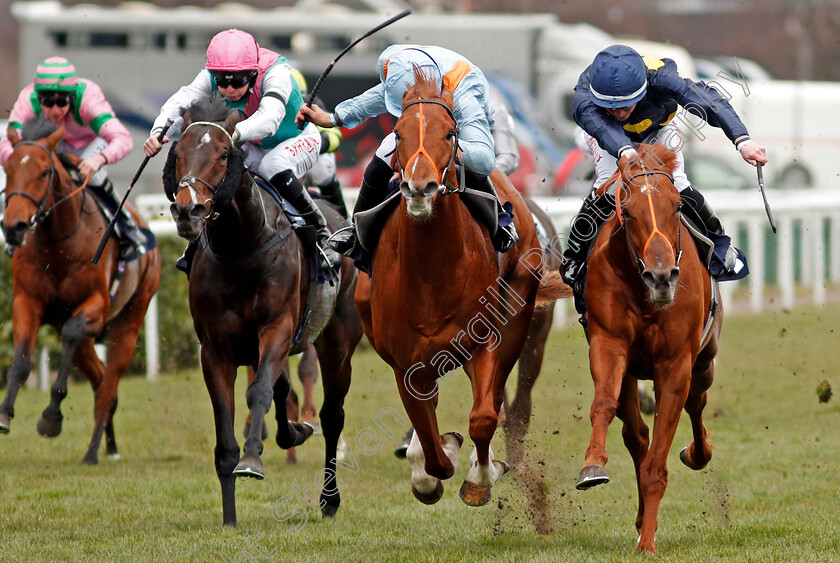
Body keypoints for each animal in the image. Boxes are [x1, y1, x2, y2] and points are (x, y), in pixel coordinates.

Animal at [0, 118, 162, 462]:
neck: (58, 245)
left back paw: (93, 452)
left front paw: (51, 417)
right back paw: (109, 446)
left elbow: (73, 333)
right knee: (100, 379)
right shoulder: (27, 301)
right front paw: (5, 413)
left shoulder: (96, 306)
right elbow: (21, 360)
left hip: (130, 320)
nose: (14, 227)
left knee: (109, 384)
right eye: (8, 167)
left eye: (44, 172)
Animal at [164, 97, 360, 528]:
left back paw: (329, 499)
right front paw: (230, 518)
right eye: (178, 152)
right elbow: (227, 434)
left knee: (332, 415)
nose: (188, 211)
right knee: (283, 390)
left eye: (223, 154)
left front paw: (252, 460)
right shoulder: (214, 350)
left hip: (337, 342)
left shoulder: (277, 329)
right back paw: (294, 434)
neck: (240, 247)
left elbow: (257, 393)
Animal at [358, 69, 568, 506]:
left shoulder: (484, 342)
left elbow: (484, 417)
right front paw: (431, 465)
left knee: (505, 403)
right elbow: (432, 449)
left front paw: (481, 476)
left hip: (522, 324)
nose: (419, 187)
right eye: (398, 133)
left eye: (450, 133)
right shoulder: (405, 364)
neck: (431, 275)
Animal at [576, 142, 720, 556]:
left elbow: (658, 461)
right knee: (635, 434)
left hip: (704, 361)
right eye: (628, 210)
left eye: (677, 206)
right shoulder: (608, 344)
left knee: (697, 405)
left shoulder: (675, 364)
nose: (661, 277)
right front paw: (593, 465)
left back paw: (697, 454)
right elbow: (603, 406)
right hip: (631, 373)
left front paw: (649, 544)